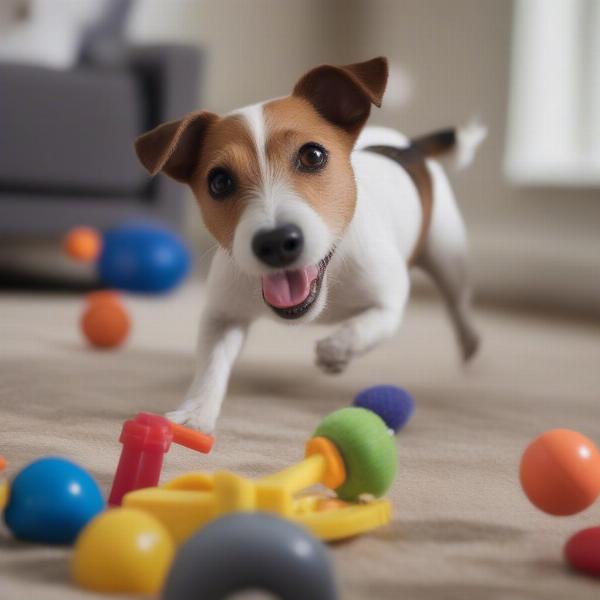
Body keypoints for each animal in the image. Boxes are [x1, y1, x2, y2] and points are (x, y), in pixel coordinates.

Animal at [135, 55, 482, 432]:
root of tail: (409, 147)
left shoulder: (388, 301)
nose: (275, 242)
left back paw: (469, 343)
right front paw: (196, 412)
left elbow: (364, 328)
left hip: (447, 254)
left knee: (458, 304)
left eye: (313, 156)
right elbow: (212, 362)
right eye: (219, 181)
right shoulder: (223, 315)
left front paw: (335, 352)